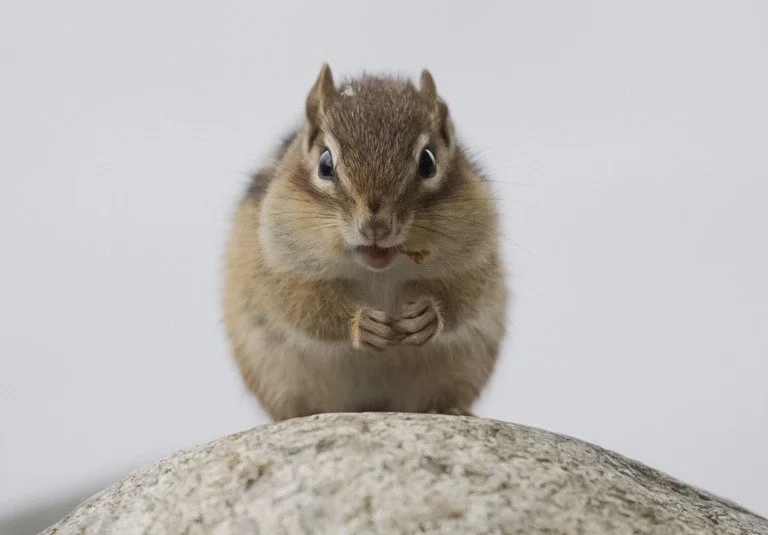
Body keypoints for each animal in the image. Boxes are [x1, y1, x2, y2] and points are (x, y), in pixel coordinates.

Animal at [223, 64, 509, 421]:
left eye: (428, 161)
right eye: (325, 163)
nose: (376, 226)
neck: (379, 271)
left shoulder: (475, 259)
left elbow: (465, 295)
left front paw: (428, 315)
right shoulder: (277, 267)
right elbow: (306, 306)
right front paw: (363, 325)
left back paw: (452, 409)